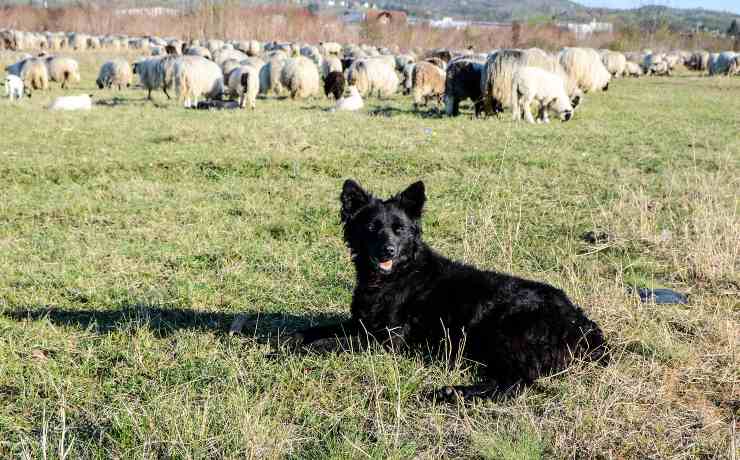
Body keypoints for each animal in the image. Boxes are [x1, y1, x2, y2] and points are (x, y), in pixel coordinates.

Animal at [290, 179, 608, 398]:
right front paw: (290, 338)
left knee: (515, 384)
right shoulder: (361, 324)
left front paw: (296, 350)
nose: (387, 251)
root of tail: (581, 322)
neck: (397, 275)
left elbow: (333, 343)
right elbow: (315, 330)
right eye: (371, 228)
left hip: (502, 334)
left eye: (399, 229)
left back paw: (454, 392)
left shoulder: (385, 341)